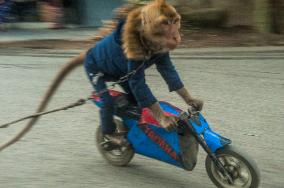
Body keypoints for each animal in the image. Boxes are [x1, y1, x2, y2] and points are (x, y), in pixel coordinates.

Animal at [0, 0, 204, 152]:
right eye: (165, 23)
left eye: (175, 21)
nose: (177, 36)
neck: (149, 43)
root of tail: (90, 51)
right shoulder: (133, 50)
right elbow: (139, 84)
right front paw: (163, 118)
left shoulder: (161, 52)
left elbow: (169, 73)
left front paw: (190, 100)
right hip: (93, 70)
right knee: (106, 101)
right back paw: (111, 137)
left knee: (129, 90)